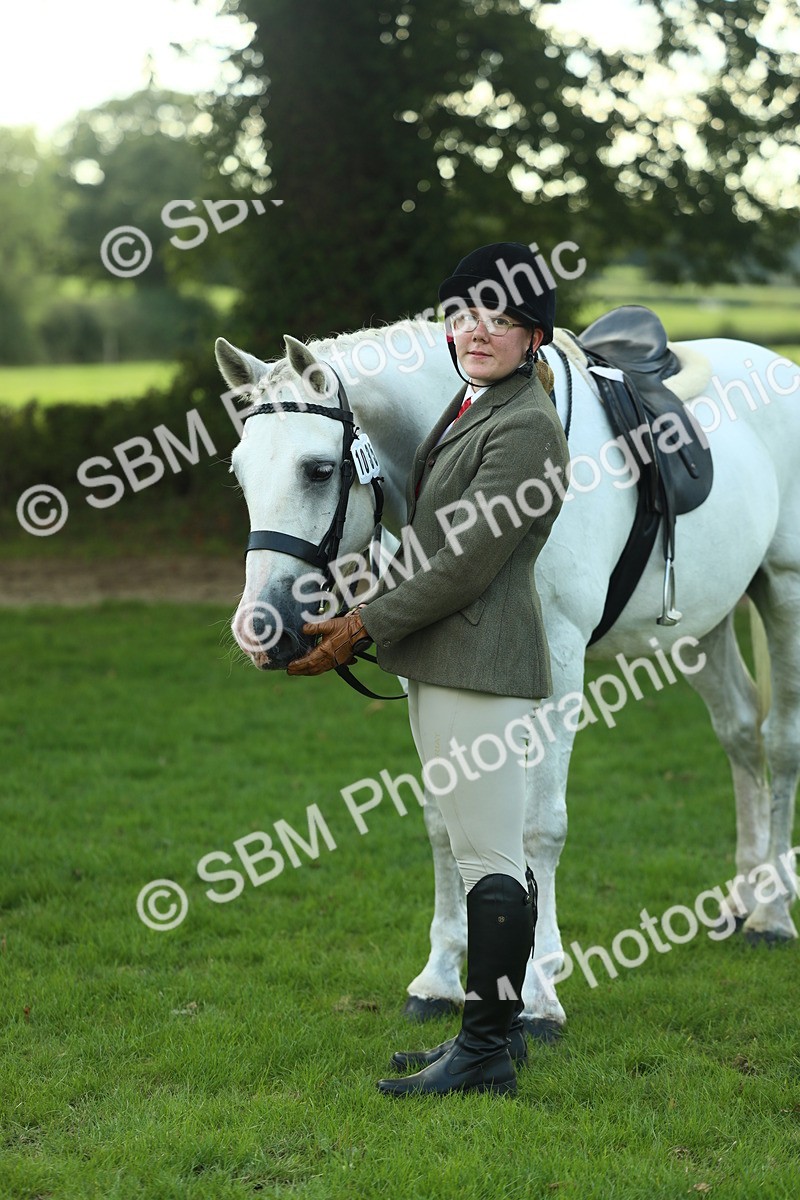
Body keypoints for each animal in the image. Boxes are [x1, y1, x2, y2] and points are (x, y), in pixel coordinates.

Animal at [215, 316, 800, 1037]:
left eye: (319, 469)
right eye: (241, 473)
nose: (259, 629)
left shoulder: (560, 667)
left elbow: (538, 827)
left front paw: (541, 995)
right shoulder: (427, 675)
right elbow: (444, 823)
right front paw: (440, 978)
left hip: (785, 592)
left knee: (779, 742)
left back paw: (773, 913)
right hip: (705, 622)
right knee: (740, 733)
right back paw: (745, 896)